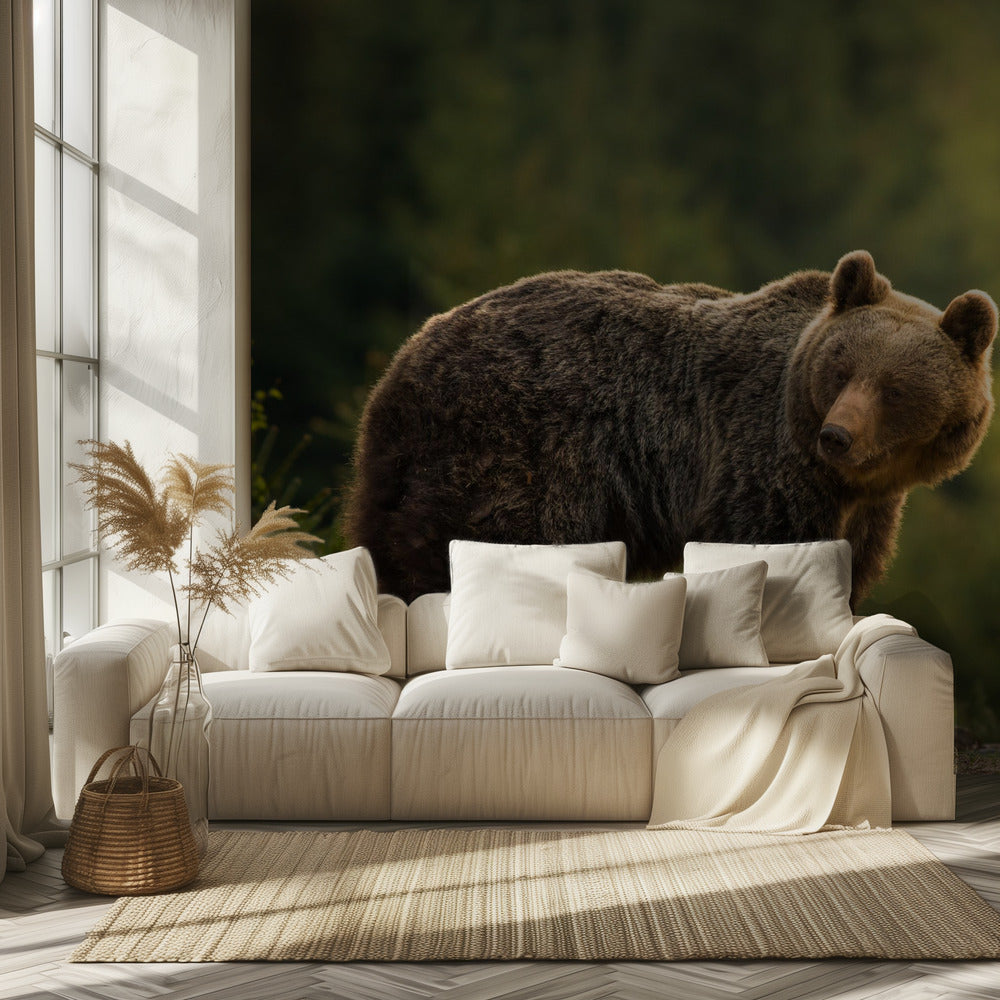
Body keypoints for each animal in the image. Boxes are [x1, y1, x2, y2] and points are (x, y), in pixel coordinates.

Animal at [344, 251, 997, 605]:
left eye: (894, 388)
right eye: (841, 370)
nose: (837, 436)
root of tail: (403, 366)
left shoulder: (867, 507)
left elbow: (853, 565)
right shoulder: (758, 460)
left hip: (401, 462)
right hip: (513, 446)